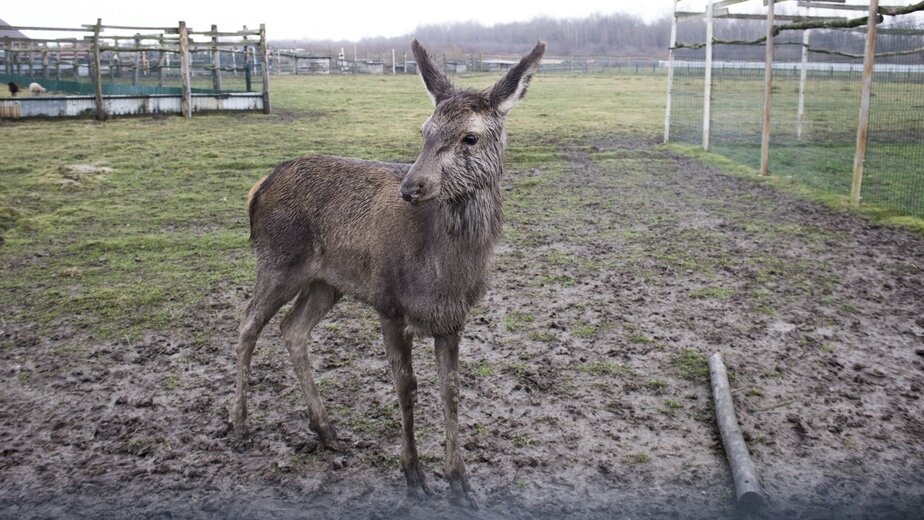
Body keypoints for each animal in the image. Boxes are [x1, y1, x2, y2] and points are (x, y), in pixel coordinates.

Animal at [231, 39, 544, 508]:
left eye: (470, 137)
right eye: (424, 131)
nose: (411, 187)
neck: (443, 274)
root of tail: (258, 187)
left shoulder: (454, 319)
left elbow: (451, 390)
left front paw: (460, 483)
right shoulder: (389, 303)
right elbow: (406, 386)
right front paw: (414, 475)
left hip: (326, 281)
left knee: (292, 328)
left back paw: (325, 428)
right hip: (277, 260)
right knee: (248, 323)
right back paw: (239, 423)